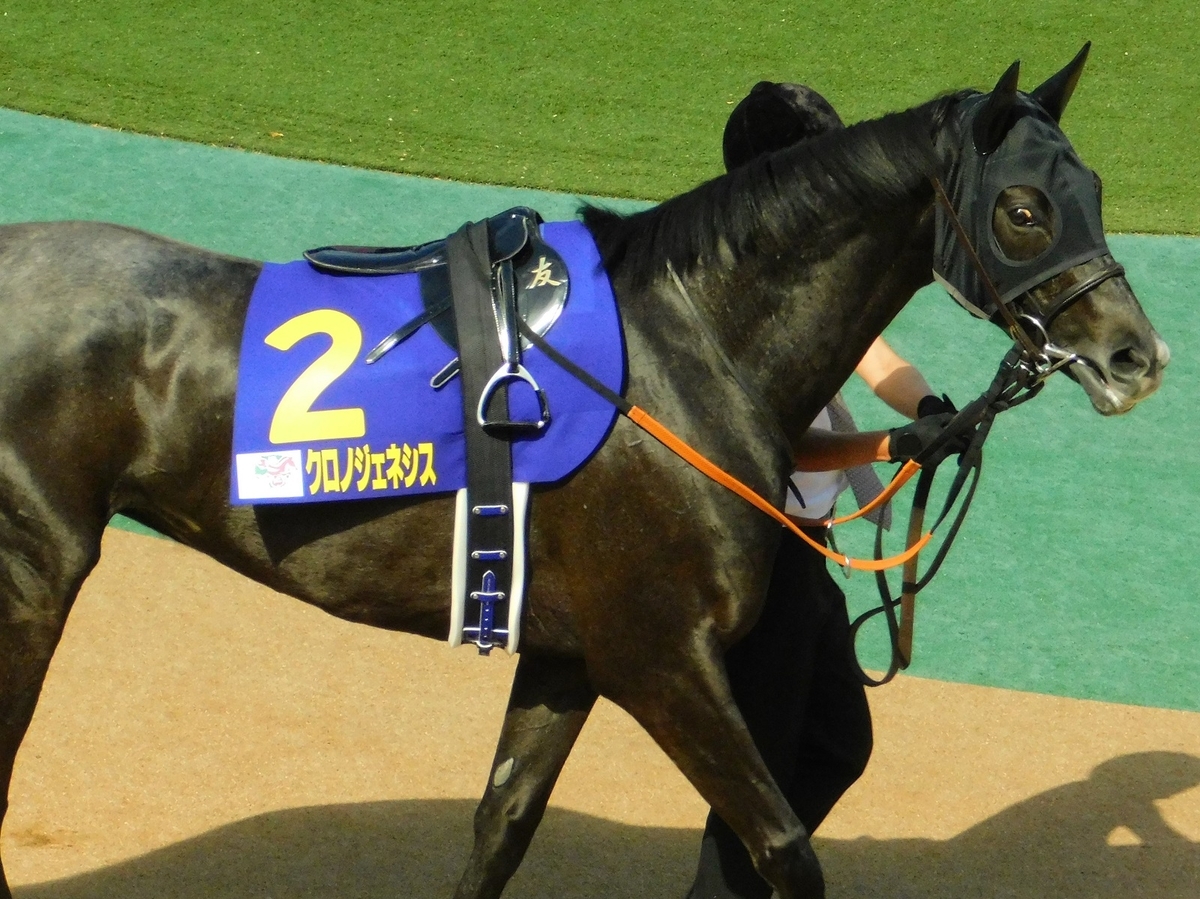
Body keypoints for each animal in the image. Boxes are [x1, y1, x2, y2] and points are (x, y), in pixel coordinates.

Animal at [0, 48, 1168, 899]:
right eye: (1024, 208)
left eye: (1099, 187)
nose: (1137, 356)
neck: (682, 349)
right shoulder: (659, 654)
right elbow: (782, 843)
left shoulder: (566, 649)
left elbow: (502, 824)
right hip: (34, 570)